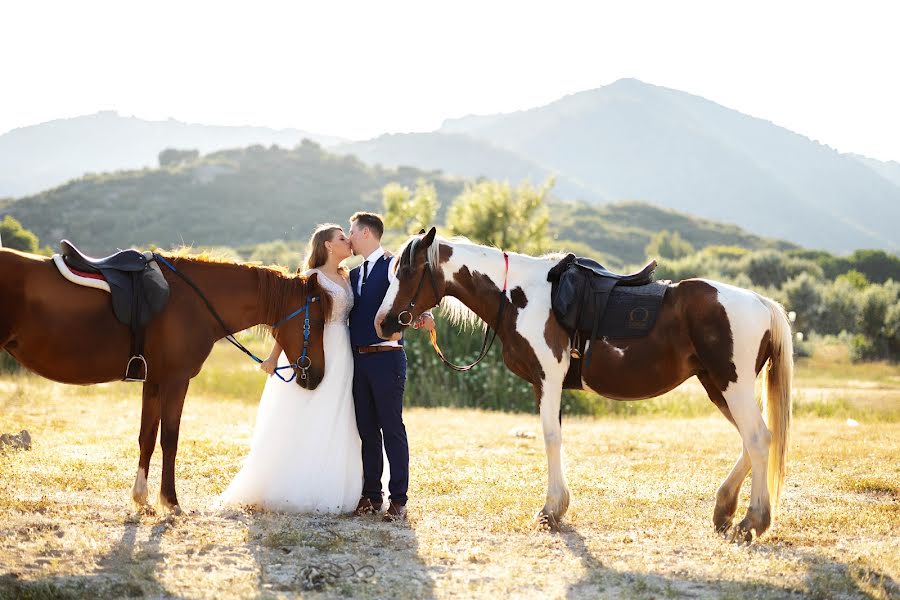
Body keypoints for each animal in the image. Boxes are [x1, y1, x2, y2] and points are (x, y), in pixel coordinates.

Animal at [0, 246, 330, 512]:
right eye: (317, 320)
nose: (316, 375)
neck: (193, 302)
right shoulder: (175, 381)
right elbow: (170, 438)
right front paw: (170, 502)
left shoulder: (153, 382)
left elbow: (146, 437)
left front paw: (141, 497)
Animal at [376, 227, 792, 540]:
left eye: (407, 272)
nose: (383, 323)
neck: (519, 296)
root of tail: (762, 303)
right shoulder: (546, 384)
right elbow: (555, 437)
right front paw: (558, 508)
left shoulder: (547, 379)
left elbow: (550, 438)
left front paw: (550, 511)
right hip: (717, 386)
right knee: (755, 439)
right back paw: (724, 509)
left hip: (732, 385)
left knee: (758, 438)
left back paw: (752, 521)